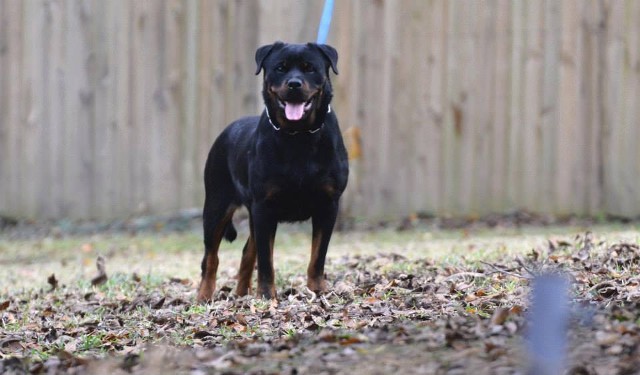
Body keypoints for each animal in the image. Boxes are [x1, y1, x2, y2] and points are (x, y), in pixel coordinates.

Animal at [198, 41, 350, 302]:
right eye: (280, 68)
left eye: (310, 68)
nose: (294, 83)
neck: (298, 136)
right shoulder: (264, 206)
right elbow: (266, 261)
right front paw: (267, 296)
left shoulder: (328, 204)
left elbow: (318, 255)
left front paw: (318, 290)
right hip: (217, 205)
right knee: (211, 257)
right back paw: (205, 297)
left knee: (247, 252)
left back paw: (241, 295)